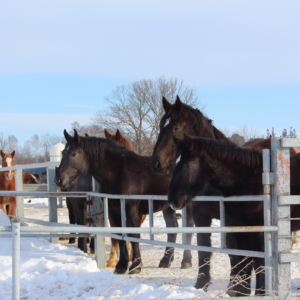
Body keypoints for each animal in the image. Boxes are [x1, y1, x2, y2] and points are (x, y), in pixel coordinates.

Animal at [54, 130, 193, 276]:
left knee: (189, 228)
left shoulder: (132, 211)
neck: (119, 172)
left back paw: (186, 261)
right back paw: (166, 260)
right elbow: (120, 235)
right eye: (63, 152)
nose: (59, 180)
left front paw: (136, 266)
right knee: (172, 229)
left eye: (74, 153)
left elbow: (134, 235)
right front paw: (121, 265)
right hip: (168, 207)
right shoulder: (114, 211)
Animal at [169, 137, 300, 298]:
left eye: (187, 165)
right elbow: (243, 258)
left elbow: (259, 260)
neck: (247, 180)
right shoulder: (241, 228)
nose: (172, 200)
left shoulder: (260, 232)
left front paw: (261, 292)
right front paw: (241, 291)